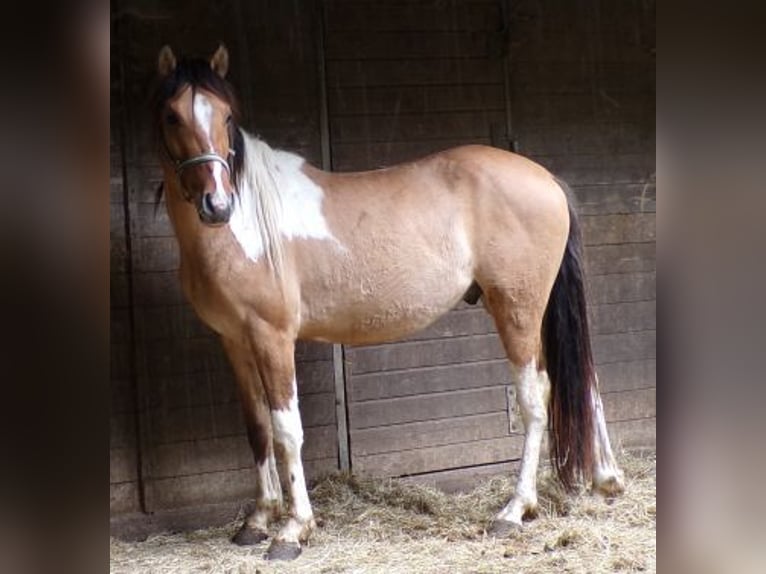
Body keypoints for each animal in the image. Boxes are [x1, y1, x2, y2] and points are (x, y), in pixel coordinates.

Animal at [151, 43, 625, 561]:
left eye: (227, 115)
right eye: (172, 115)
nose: (217, 205)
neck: (250, 225)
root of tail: (546, 179)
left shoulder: (272, 338)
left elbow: (286, 430)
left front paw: (293, 530)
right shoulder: (235, 341)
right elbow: (257, 428)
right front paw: (257, 521)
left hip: (517, 309)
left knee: (535, 397)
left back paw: (514, 510)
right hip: (533, 310)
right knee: (579, 379)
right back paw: (606, 481)